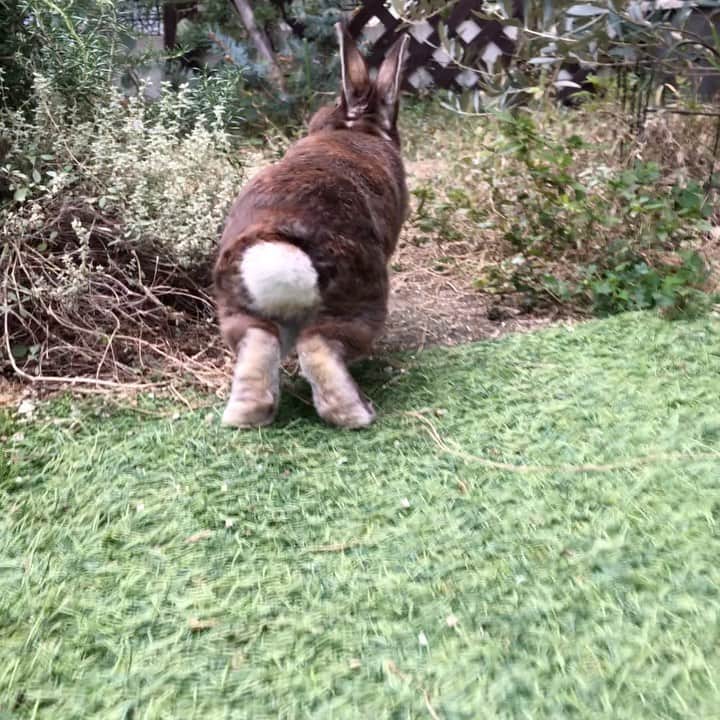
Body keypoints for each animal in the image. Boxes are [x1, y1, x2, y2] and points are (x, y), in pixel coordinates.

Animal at [213, 22, 410, 430]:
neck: (360, 128)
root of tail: (278, 251)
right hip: (355, 300)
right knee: (319, 348)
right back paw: (359, 414)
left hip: (241, 309)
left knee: (257, 348)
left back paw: (246, 417)